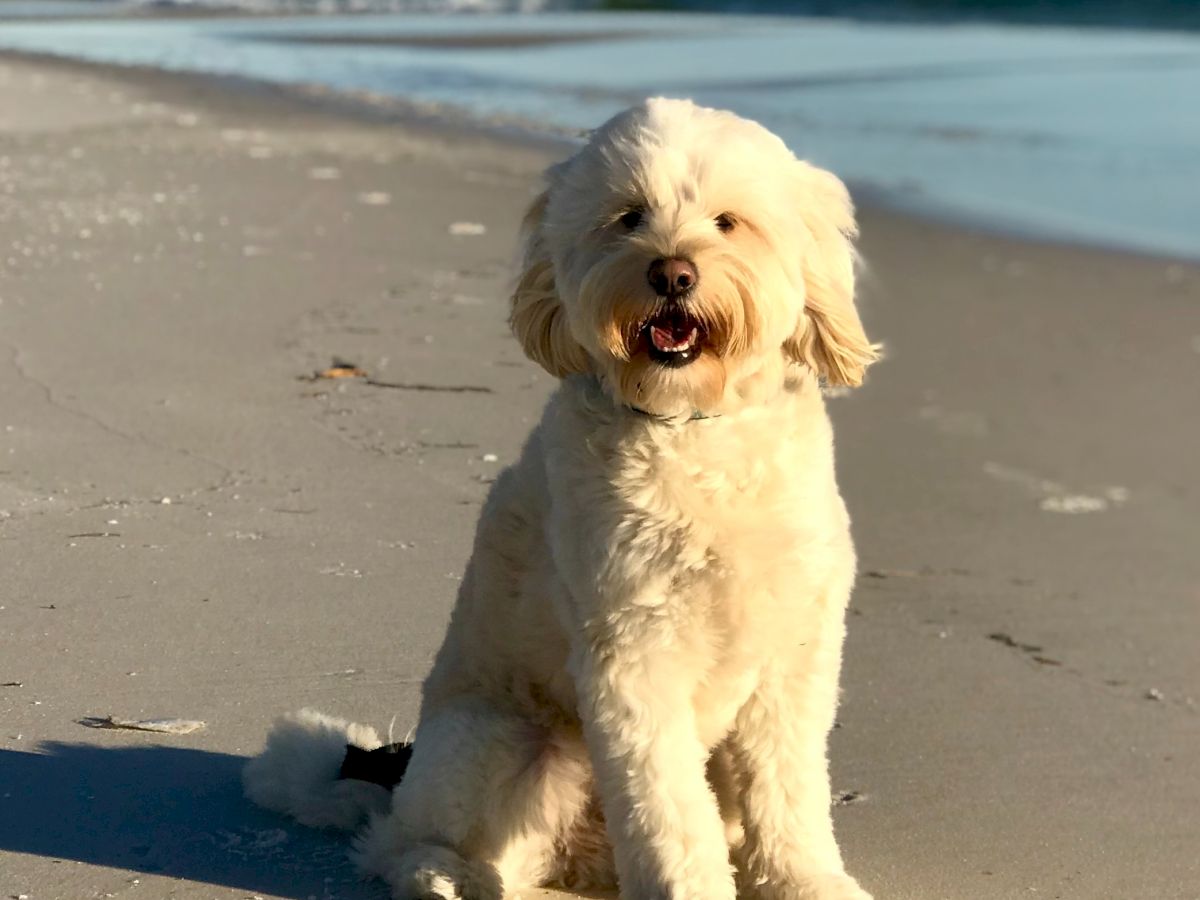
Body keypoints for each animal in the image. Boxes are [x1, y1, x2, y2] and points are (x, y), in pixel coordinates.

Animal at [246, 98, 883, 900]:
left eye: (729, 222)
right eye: (629, 217)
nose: (671, 273)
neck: (692, 430)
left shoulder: (793, 655)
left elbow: (789, 789)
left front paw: (807, 881)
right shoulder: (634, 658)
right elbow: (668, 809)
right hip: (502, 740)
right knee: (400, 841)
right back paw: (444, 873)